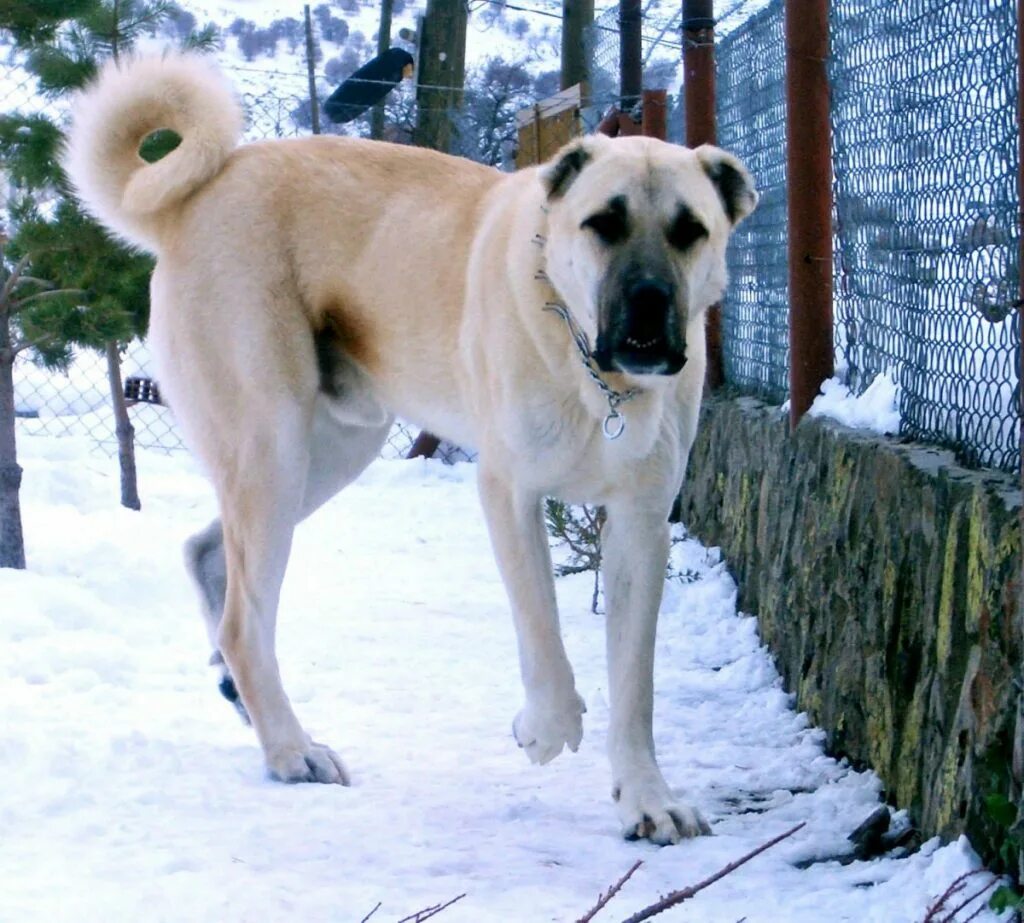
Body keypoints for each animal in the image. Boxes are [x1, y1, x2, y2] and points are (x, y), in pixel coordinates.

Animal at [61, 50, 753, 844]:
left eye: (690, 230)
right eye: (603, 224)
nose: (647, 305)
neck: (594, 373)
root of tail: (193, 198)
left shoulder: (642, 522)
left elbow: (635, 684)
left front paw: (646, 797)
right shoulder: (509, 493)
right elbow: (542, 630)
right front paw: (545, 728)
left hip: (333, 450)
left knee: (208, 556)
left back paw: (242, 697)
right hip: (271, 448)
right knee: (243, 618)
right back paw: (291, 750)